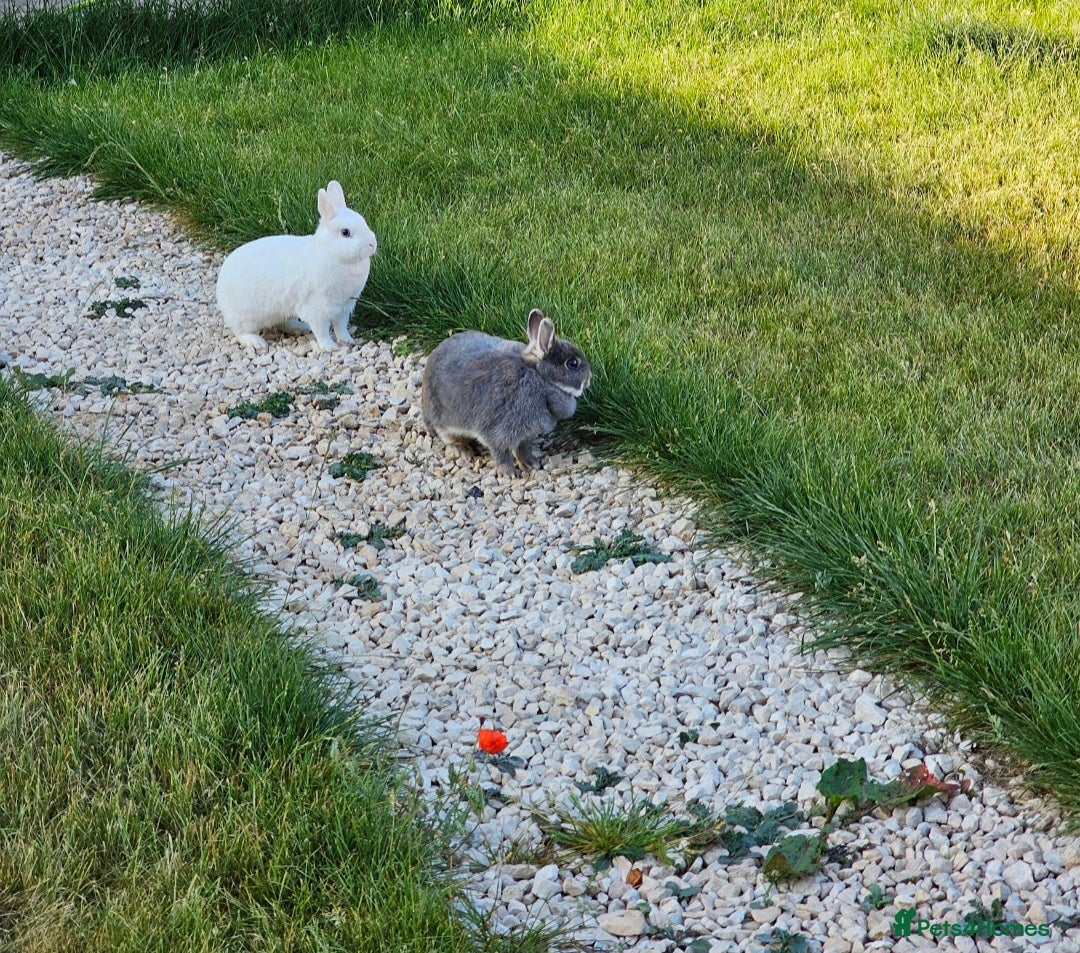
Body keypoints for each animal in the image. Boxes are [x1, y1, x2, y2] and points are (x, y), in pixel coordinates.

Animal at [216, 180, 377, 351]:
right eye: (345, 232)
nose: (372, 244)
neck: (330, 252)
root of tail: (220, 289)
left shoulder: (344, 307)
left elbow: (341, 327)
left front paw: (348, 341)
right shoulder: (317, 308)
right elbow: (322, 330)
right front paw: (329, 347)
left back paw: (299, 327)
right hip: (247, 317)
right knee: (240, 331)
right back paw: (256, 342)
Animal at [422, 309, 592, 476]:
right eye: (572, 363)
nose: (589, 378)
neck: (540, 377)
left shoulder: (525, 434)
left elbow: (523, 448)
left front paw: (530, 463)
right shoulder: (500, 430)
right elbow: (501, 453)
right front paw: (509, 472)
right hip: (443, 420)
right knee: (448, 437)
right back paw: (463, 450)